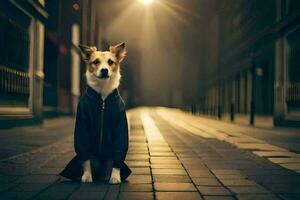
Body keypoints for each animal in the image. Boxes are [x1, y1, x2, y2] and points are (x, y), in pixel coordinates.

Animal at [59, 42, 131, 184]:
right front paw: (87, 176)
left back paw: (108, 176)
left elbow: (117, 157)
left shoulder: (120, 124)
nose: (104, 70)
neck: (102, 96)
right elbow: (85, 156)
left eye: (110, 62)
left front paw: (115, 177)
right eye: (96, 62)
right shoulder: (82, 123)